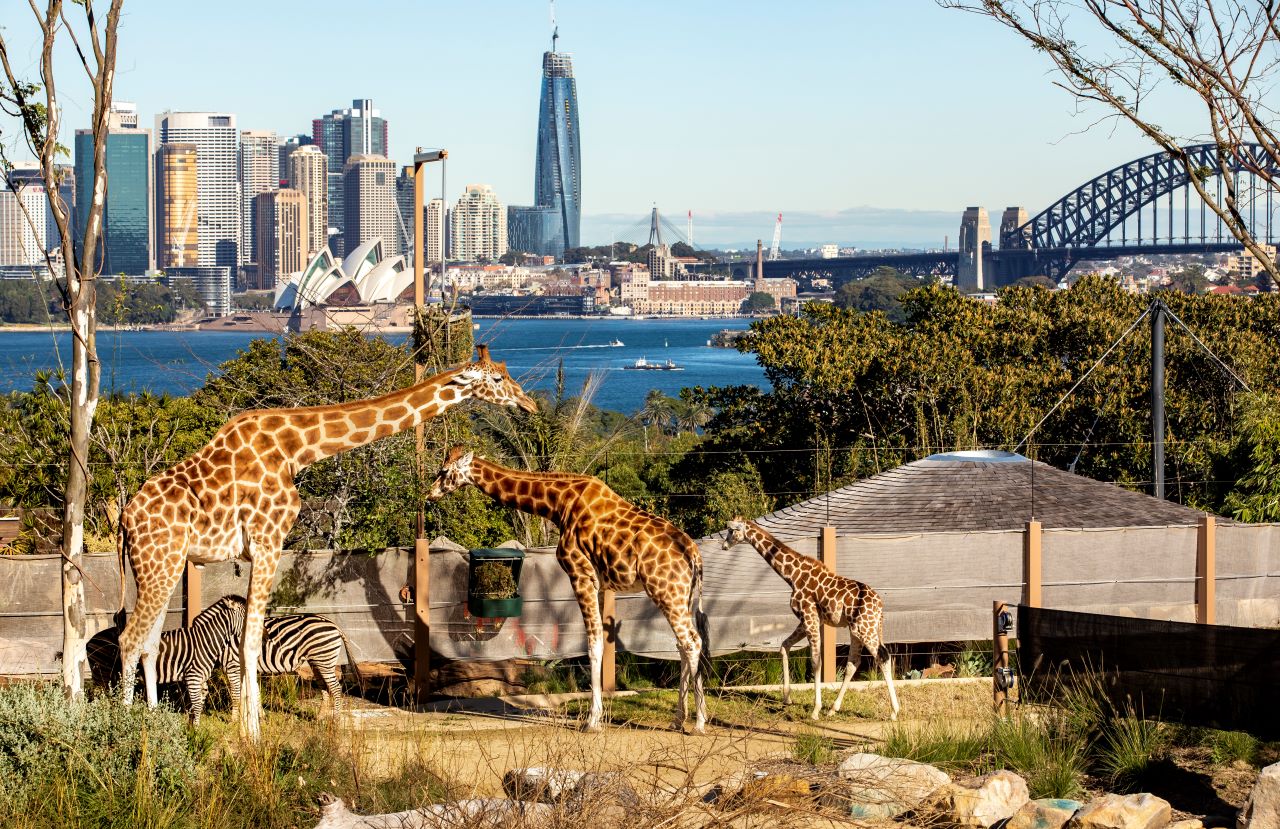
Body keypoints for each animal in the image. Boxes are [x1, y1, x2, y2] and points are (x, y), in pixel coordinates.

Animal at [160, 593, 363, 721]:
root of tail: (333, 624)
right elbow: (255, 692)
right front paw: (260, 717)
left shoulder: (232, 665)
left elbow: (237, 693)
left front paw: (234, 720)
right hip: (317, 662)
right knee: (325, 688)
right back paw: (319, 718)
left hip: (324, 660)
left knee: (336, 688)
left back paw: (336, 720)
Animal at [427, 447, 711, 731]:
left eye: (444, 471)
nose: (430, 494)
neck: (558, 504)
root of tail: (694, 555)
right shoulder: (599, 583)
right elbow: (599, 641)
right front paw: (597, 717)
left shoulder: (580, 574)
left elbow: (593, 645)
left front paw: (592, 720)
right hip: (681, 595)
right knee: (684, 643)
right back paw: (678, 719)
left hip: (665, 591)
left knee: (691, 641)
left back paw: (698, 723)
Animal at [721, 516, 901, 716]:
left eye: (732, 530)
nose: (724, 545)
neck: (792, 575)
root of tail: (880, 606)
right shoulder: (807, 620)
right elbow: (784, 646)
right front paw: (787, 698)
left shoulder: (809, 616)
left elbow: (816, 661)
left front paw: (815, 710)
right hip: (858, 629)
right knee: (854, 662)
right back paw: (833, 709)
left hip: (865, 629)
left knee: (882, 657)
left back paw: (894, 711)